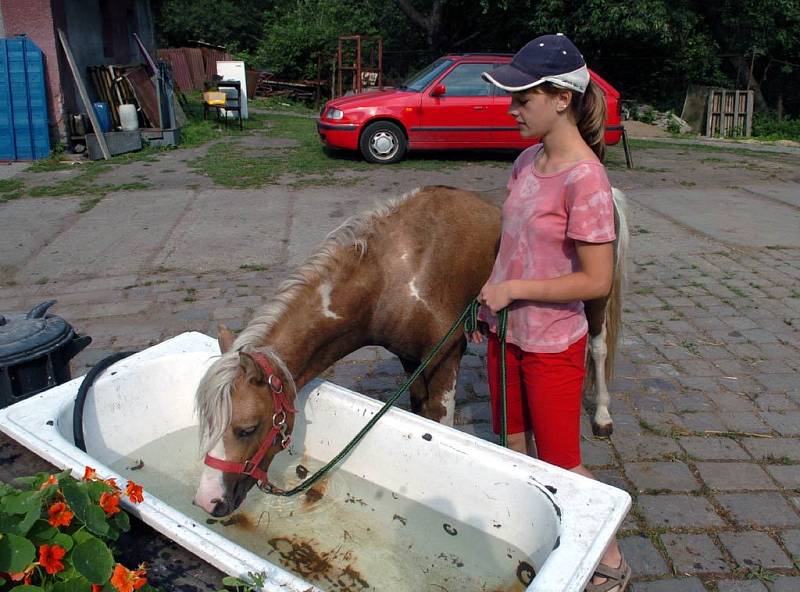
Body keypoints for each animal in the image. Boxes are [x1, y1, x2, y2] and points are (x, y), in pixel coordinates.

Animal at [192, 185, 624, 512]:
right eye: (206, 423)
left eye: (246, 428)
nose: (207, 500)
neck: (395, 274)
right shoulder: (411, 359)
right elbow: (419, 416)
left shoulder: (445, 359)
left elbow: (440, 424)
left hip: (594, 302)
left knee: (598, 349)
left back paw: (603, 415)